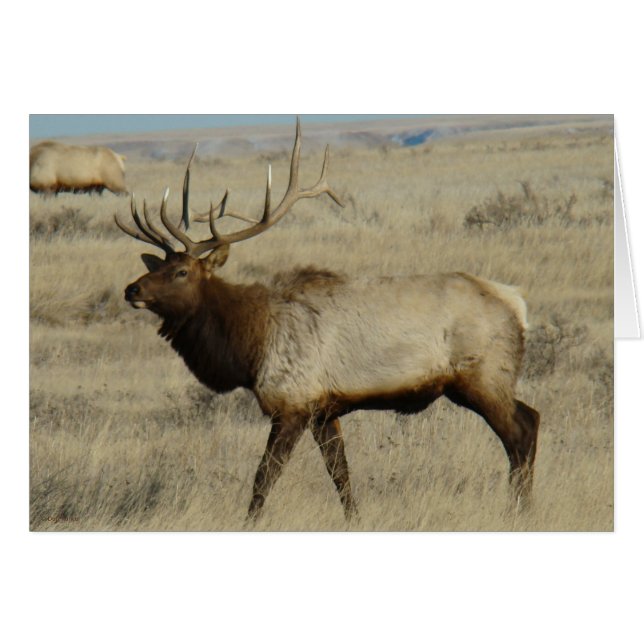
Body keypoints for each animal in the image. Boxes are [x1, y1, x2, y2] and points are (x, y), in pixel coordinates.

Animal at [115, 119, 540, 523]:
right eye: (157, 266)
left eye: (182, 272)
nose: (131, 289)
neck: (249, 344)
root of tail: (517, 303)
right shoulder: (324, 410)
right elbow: (340, 474)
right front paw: (354, 519)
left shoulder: (292, 403)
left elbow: (264, 476)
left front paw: (249, 522)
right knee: (530, 420)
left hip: (482, 375)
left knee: (522, 430)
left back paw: (518, 510)